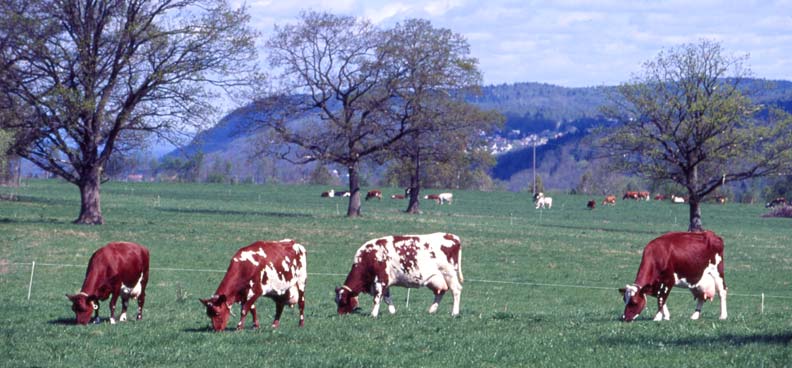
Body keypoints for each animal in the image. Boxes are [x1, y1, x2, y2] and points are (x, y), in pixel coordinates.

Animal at [334, 233, 464, 316]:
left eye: (344, 301)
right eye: (336, 301)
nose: (340, 314)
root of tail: (452, 236)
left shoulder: (380, 280)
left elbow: (377, 298)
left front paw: (373, 314)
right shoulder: (385, 282)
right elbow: (387, 298)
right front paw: (392, 312)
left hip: (449, 274)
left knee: (456, 291)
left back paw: (454, 313)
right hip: (437, 279)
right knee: (440, 292)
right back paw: (431, 310)